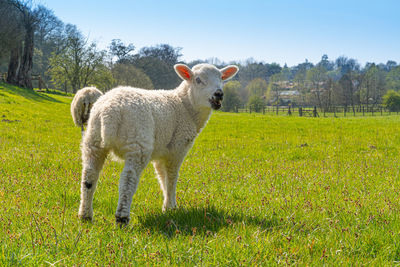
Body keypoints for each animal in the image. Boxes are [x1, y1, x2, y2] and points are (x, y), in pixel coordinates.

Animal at [79, 63, 239, 225]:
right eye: (198, 80)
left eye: (221, 78)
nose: (219, 94)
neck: (185, 105)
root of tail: (109, 112)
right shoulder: (177, 148)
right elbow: (172, 177)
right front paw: (171, 207)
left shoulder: (162, 152)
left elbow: (162, 177)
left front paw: (167, 205)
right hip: (137, 142)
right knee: (128, 179)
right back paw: (122, 218)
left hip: (93, 140)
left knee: (89, 176)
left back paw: (85, 216)